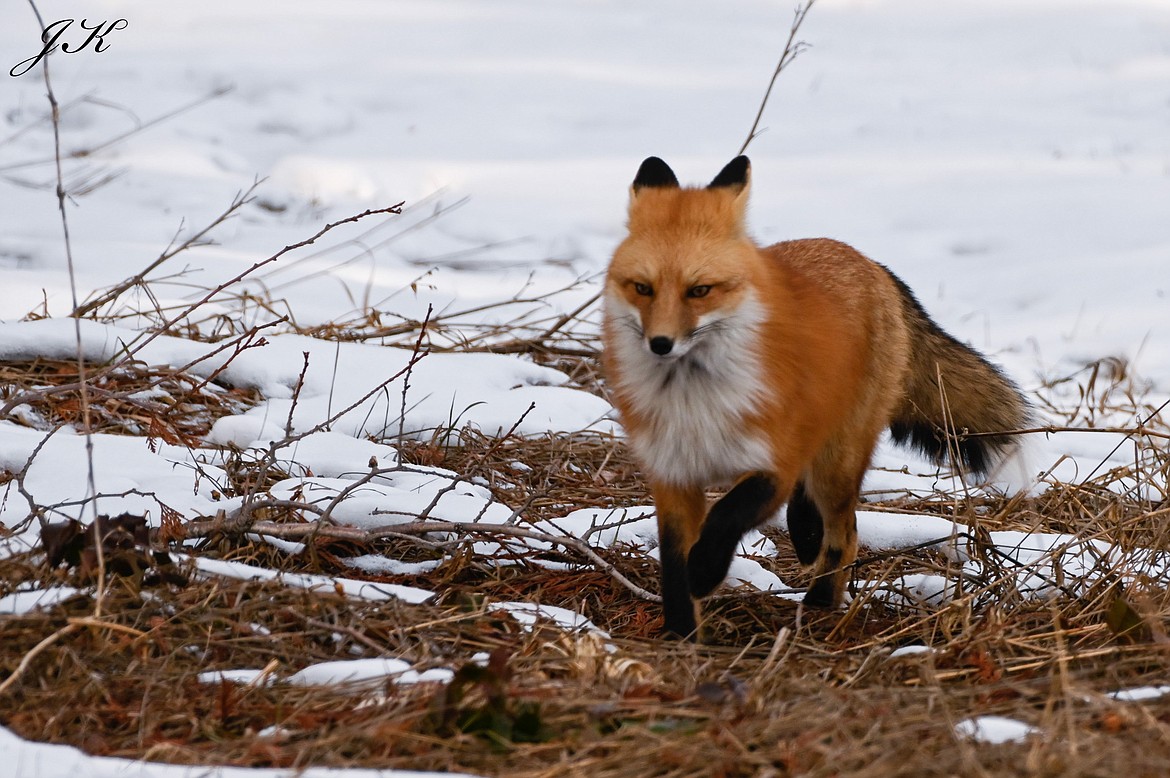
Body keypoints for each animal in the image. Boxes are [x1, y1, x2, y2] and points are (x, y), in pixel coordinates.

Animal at [601, 156, 1031, 639]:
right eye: (643, 288)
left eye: (699, 291)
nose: (660, 344)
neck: (696, 402)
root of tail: (867, 261)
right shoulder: (672, 473)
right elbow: (674, 567)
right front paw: (681, 633)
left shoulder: (774, 463)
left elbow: (725, 516)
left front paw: (706, 572)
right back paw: (806, 538)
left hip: (839, 461)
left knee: (847, 532)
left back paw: (821, 600)